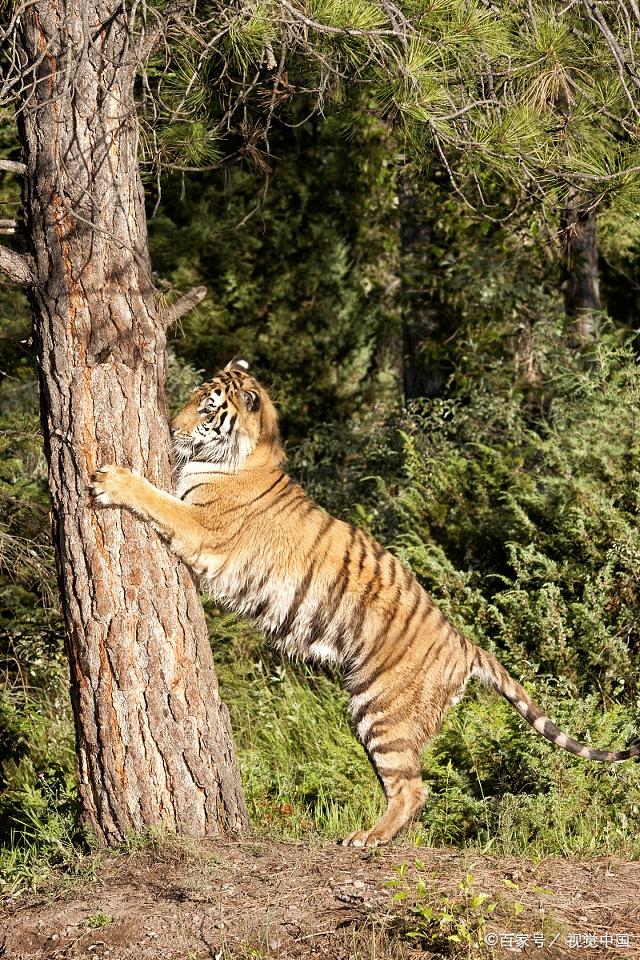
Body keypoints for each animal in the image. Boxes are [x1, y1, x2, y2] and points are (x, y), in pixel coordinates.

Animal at [91, 356, 640, 844]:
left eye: (207, 408)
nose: (170, 427)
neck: (255, 452)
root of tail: (466, 644)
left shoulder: (203, 526)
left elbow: (157, 498)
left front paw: (110, 480)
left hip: (383, 711)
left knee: (414, 788)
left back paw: (368, 839)